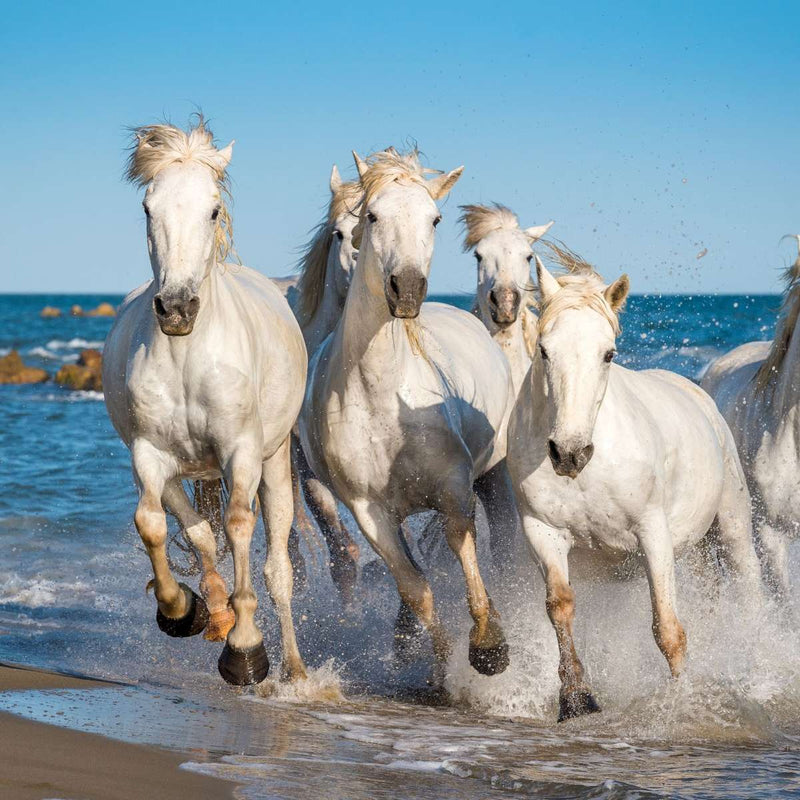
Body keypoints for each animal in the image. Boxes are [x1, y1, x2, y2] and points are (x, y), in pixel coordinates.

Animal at [104, 122, 310, 684]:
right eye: (148, 208)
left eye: (213, 209)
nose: (177, 308)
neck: (187, 356)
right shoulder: (149, 455)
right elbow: (156, 525)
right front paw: (182, 611)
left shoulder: (241, 451)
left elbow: (240, 526)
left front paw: (246, 649)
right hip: (180, 470)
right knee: (195, 531)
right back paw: (213, 611)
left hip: (275, 460)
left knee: (278, 567)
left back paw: (295, 671)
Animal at [298, 148, 512, 676]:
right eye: (372, 216)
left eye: (434, 219)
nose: (408, 289)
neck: (382, 397)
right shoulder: (370, 511)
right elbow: (416, 587)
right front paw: (439, 667)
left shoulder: (454, 487)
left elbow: (461, 546)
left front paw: (489, 644)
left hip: (494, 477)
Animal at [506, 260, 764, 720]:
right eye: (544, 350)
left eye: (608, 353)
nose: (569, 453)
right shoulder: (542, 531)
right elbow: (560, 607)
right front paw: (576, 700)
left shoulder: (652, 532)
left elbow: (668, 628)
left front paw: (681, 702)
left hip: (733, 526)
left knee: (747, 586)